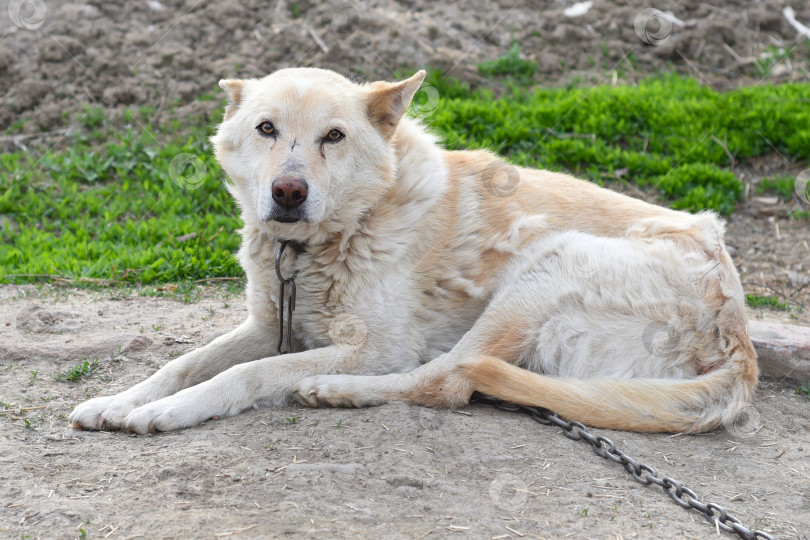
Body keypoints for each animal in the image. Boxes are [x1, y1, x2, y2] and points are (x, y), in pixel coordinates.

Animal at [66, 69, 756, 436]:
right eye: (266, 129)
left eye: (334, 136)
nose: (289, 192)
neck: (332, 240)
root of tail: (739, 338)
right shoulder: (267, 326)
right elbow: (181, 363)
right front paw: (120, 400)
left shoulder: (375, 346)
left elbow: (244, 374)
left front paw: (169, 412)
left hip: (546, 265)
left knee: (451, 378)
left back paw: (337, 391)